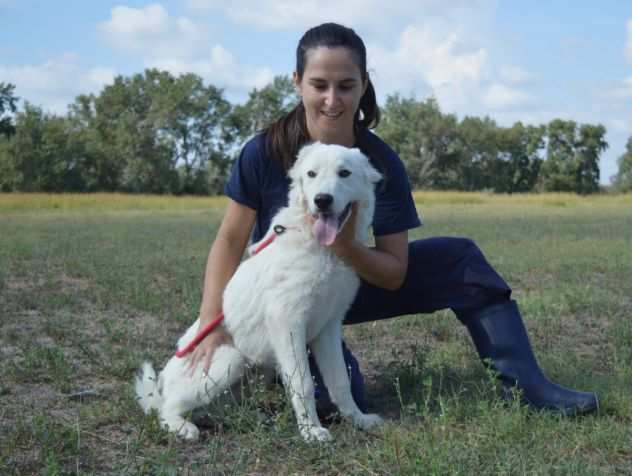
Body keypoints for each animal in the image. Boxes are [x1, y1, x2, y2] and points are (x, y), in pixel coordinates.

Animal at [136, 142, 386, 442]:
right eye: (311, 174)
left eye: (344, 173)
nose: (322, 200)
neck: (322, 247)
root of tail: (161, 385)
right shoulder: (288, 322)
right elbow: (303, 383)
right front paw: (311, 431)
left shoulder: (328, 327)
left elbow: (340, 381)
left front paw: (358, 419)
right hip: (231, 359)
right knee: (167, 408)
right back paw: (183, 427)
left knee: (211, 409)